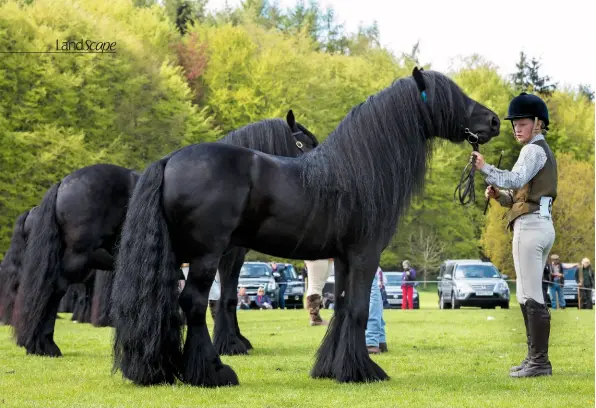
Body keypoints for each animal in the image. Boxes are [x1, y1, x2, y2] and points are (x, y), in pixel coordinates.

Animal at [10, 111, 316, 356]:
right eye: (304, 144)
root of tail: (63, 183)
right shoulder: (227, 257)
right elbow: (228, 298)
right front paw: (230, 344)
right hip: (78, 258)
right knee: (54, 289)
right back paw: (44, 344)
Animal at [113, 67, 502, 388]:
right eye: (451, 96)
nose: (495, 121)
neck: (358, 171)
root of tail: (169, 160)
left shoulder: (343, 259)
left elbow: (342, 307)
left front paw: (334, 367)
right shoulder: (365, 255)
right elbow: (358, 310)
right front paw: (363, 371)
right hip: (207, 256)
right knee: (192, 303)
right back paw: (213, 372)